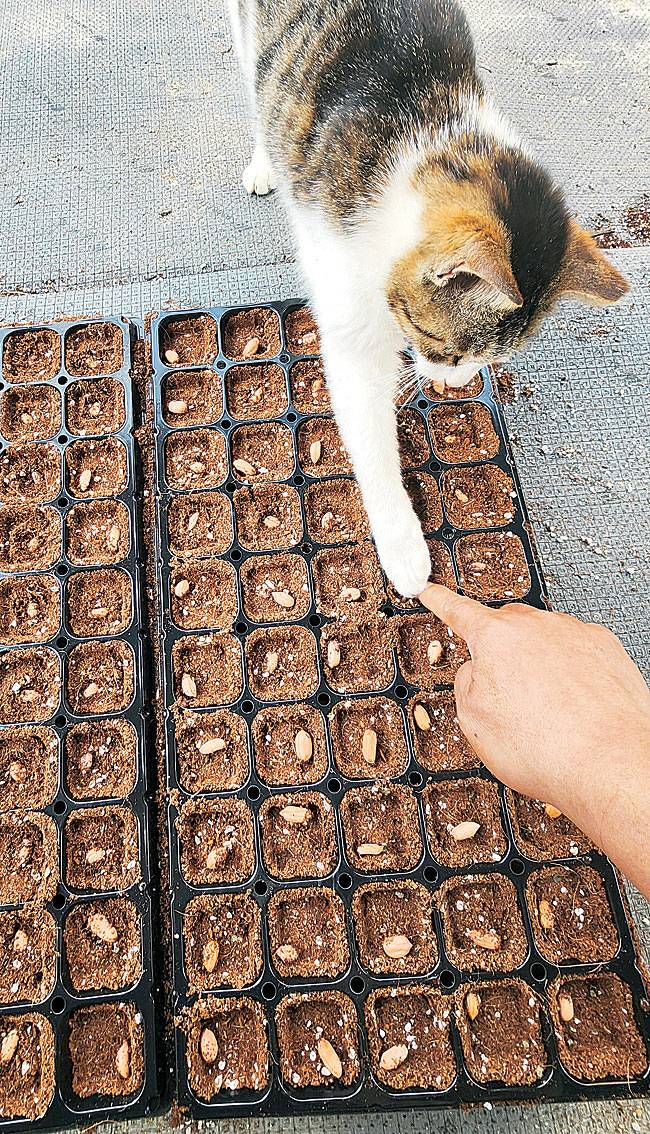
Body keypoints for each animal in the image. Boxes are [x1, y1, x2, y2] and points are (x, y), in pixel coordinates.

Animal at [229, 0, 630, 598]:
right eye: (448, 347)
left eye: (491, 359)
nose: (456, 382)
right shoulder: (349, 311)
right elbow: (370, 434)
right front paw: (402, 544)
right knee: (254, 87)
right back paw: (262, 160)